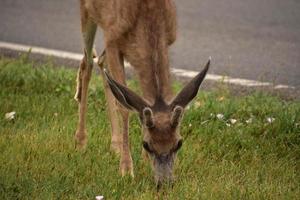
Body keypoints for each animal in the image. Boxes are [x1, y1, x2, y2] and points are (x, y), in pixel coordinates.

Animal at [74, 0, 211, 188]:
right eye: (146, 144)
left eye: (179, 143)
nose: (165, 183)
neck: (148, 18)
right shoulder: (113, 38)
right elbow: (124, 108)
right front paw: (126, 169)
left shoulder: (166, 39)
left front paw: (142, 160)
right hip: (88, 14)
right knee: (87, 64)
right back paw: (81, 141)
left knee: (101, 62)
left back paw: (115, 144)